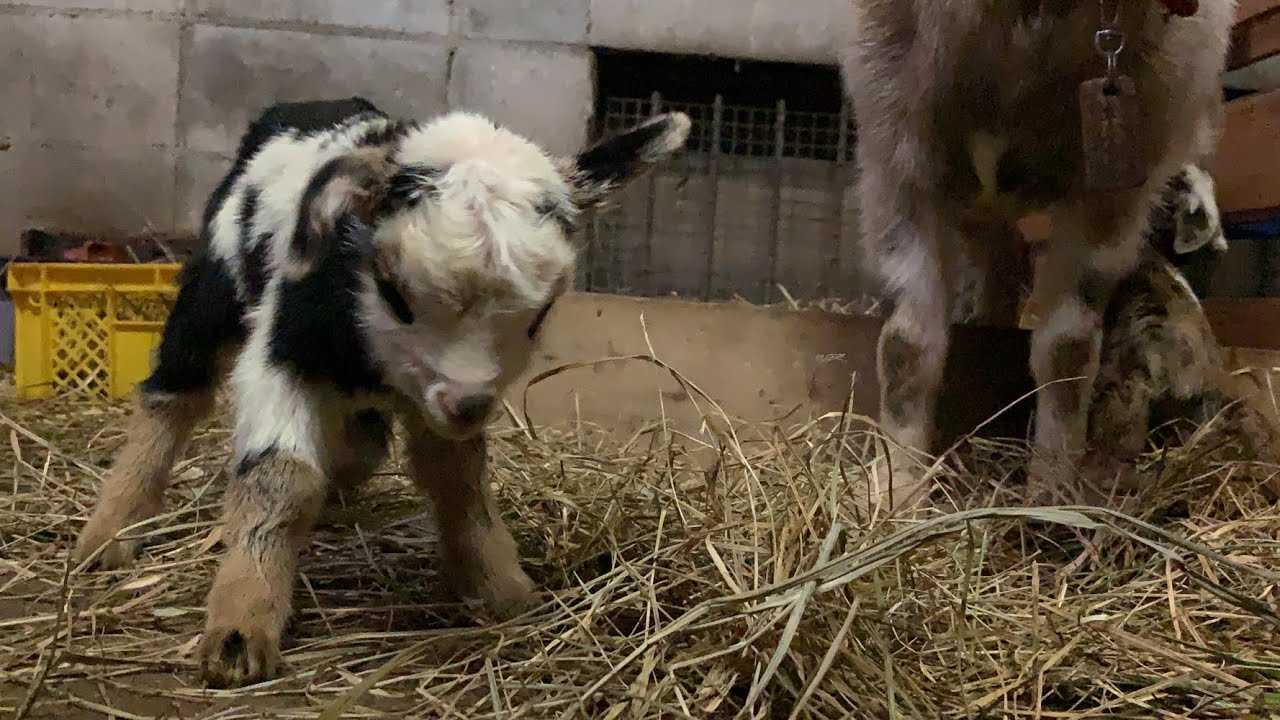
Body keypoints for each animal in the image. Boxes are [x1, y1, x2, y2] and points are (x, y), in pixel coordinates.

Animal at [73, 97, 691, 688]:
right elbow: (281, 478)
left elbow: (457, 479)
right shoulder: (281, 351)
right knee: (175, 393)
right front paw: (239, 631)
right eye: (394, 293)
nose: (468, 405)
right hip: (213, 288)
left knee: (362, 444)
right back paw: (108, 534)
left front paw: (504, 590)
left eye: (539, 317)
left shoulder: (435, 404)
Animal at [838, 1, 1236, 508]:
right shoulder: (897, 150)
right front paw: (899, 489)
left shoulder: (1109, 196)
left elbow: (1068, 350)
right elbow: (906, 346)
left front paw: (1051, 489)